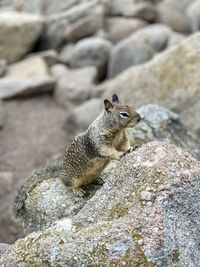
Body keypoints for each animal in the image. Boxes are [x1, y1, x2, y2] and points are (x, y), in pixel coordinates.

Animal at [12, 95, 141, 219]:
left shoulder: (122, 140)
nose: (140, 118)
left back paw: (97, 179)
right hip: (71, 178)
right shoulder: (100, 143)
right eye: (124, 114)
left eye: (129, 106)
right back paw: (78, 190)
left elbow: (125, 145)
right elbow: (110, 152)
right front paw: (120, 154)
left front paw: (131, 148)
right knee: (66, 184)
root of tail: (61, 169)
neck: (118, 131)